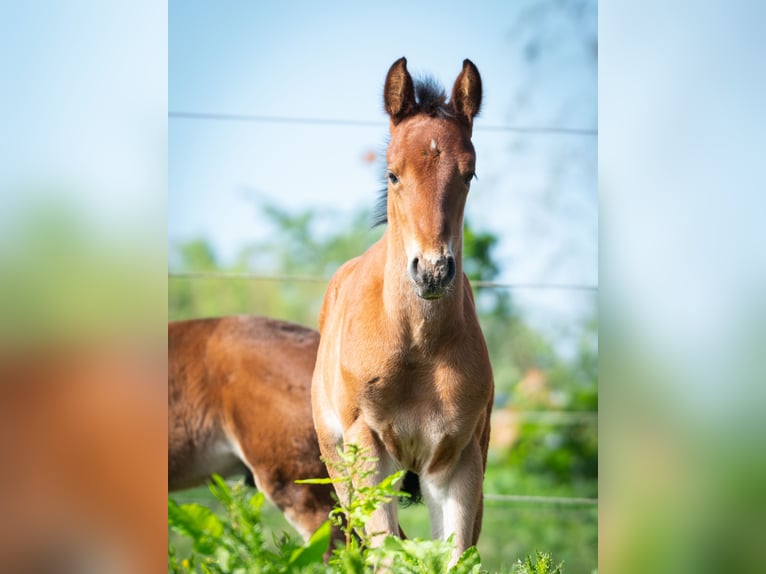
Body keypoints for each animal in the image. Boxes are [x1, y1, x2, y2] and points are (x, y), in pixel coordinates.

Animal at [311, 57, 494, 564]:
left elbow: (455, 556)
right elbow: (388, 554)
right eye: (392, 174)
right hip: (337, 463)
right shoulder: (369, 450)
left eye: (469, 174)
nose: (432, 271)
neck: (418, 349)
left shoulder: (457, 459)